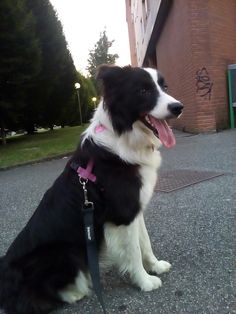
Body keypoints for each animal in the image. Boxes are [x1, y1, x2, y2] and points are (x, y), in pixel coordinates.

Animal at [0, 65, 183, 312]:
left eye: (164, 87)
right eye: (143, 90)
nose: (178, 107)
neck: (123, 135)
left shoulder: (134, 209)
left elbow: (144, 242)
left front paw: (155, 266)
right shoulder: (122, 215)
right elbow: (134, 250)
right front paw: (144, 282)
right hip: (64, 253)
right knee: (36, 297)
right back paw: (75, 292)